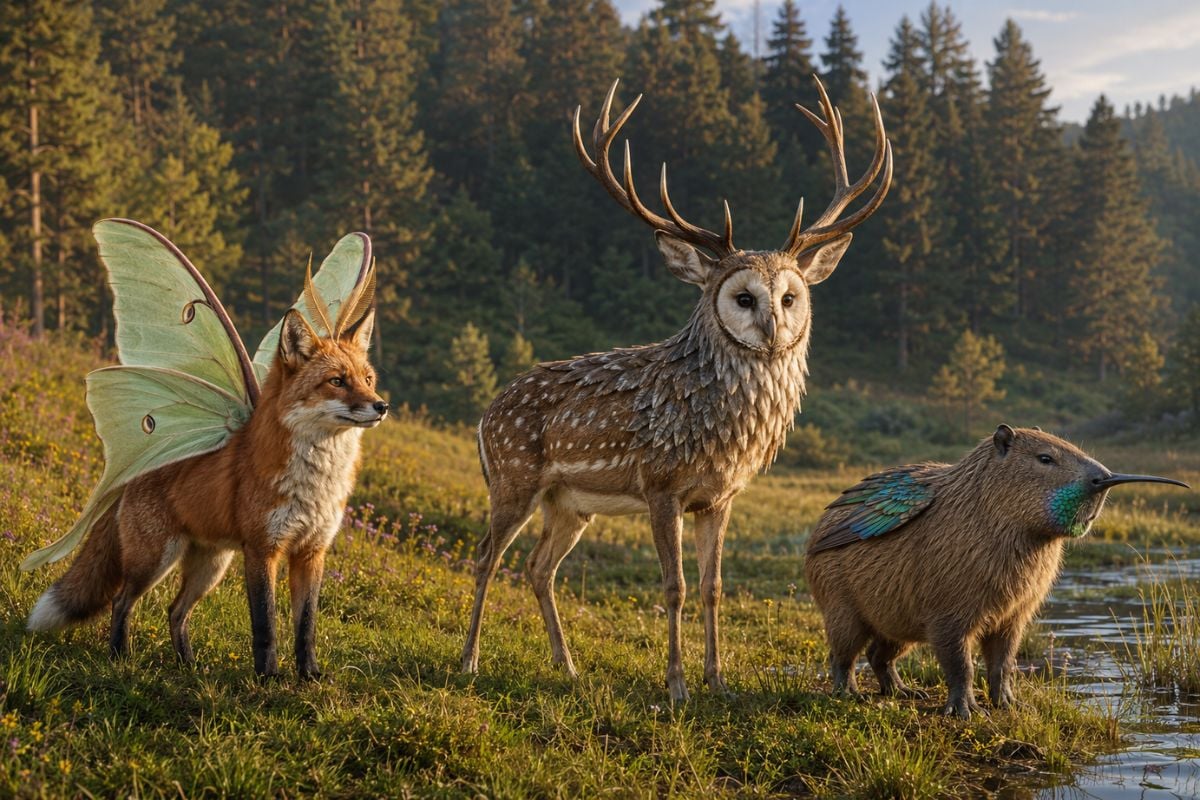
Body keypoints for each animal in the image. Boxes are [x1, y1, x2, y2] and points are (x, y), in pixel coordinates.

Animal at [27, 309, 387, 679]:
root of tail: (135, 469)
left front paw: (309, 675)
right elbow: (266, 624)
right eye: (337, 381)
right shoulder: (262, 549)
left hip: (210, 568)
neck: (316, 483)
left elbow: (306, 625)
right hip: (154, 561)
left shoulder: (311, 552)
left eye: (368, 379)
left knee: (175, 611)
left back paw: (187, 665)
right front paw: (267, 677)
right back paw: (119, 656)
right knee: (121, 600)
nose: (381, 405)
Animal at [461, 77, 893, 701]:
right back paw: (469, 659)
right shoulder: (660, 483)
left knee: (540, 568)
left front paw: (718, 680)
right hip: (512, 475)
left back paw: (567, 665)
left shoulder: (721, 495)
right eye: (743, 297)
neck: (721, 434)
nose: (772, 330)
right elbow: (675, 587)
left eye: (789, 297)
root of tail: (484, 415)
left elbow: (713, 587)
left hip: (569, 502)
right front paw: (676, 686)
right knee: (486, 557)